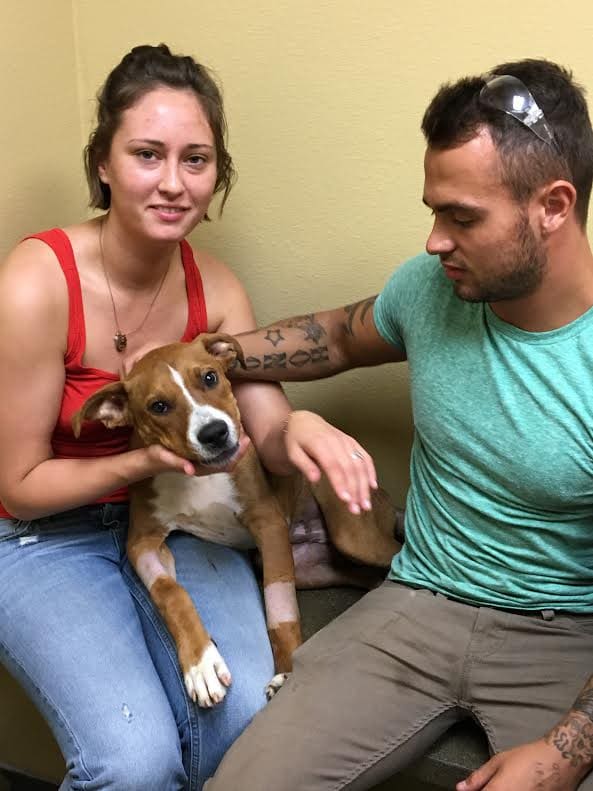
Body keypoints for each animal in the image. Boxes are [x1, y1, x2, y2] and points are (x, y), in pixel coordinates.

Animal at [74, 338, 398, 708]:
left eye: (210, 377)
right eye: (158, 406)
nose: (214, 433)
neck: (199, 476)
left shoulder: (268, 523)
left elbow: (280, 613)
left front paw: (287, 675)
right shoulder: (142, 541)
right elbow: (171, 592)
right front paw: (201, 664)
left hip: (350, 537)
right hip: (311, 568)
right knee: (369, 576)